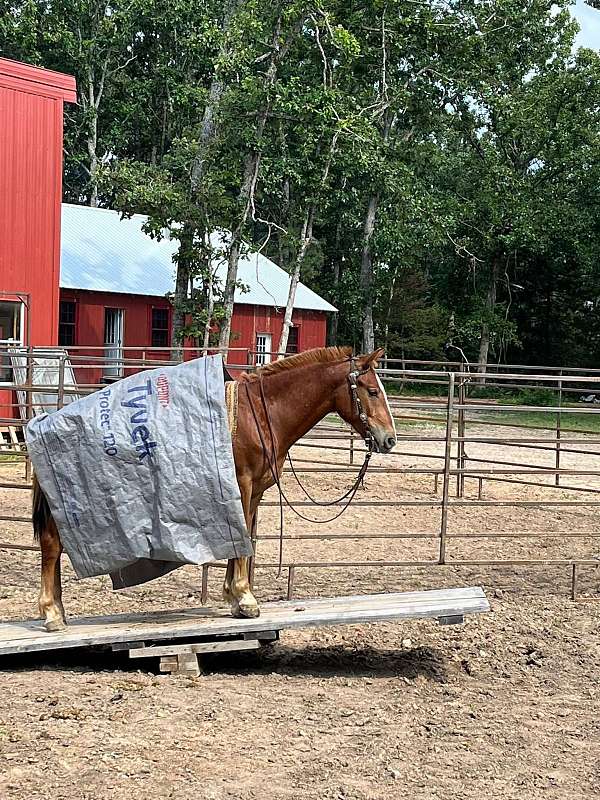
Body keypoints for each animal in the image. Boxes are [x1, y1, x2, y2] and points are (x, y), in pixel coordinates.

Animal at [33, 346, 397, 630]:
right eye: (372, 391)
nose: (390, 439)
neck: (260, 414)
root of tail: (45, 423)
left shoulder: (255, 491)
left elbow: (244, 536)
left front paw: (234, 597)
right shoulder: (242, 484)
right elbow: (241, 540)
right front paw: (245, 598)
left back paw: (59, 611)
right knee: (52, 546)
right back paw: (51, 613)